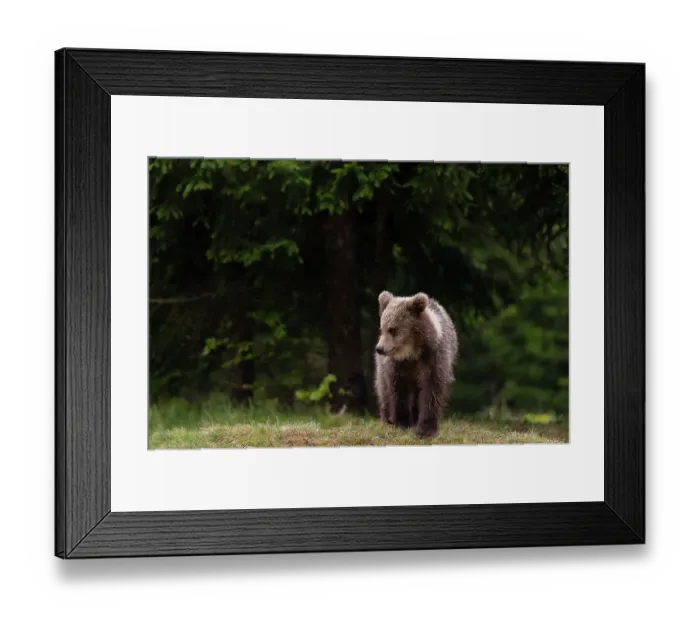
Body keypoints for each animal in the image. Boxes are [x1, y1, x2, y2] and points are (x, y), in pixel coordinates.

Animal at [373, 291, 458, 439]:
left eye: (393, 329)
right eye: (382, 328)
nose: (379, 348)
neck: (412, 352)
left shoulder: (433, 358)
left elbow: (431, 390)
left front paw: (425, 430)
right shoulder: (398, 365)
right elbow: (398, 390)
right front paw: (403, 423)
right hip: (381, 368)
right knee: (383, 389)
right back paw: (387, 419)